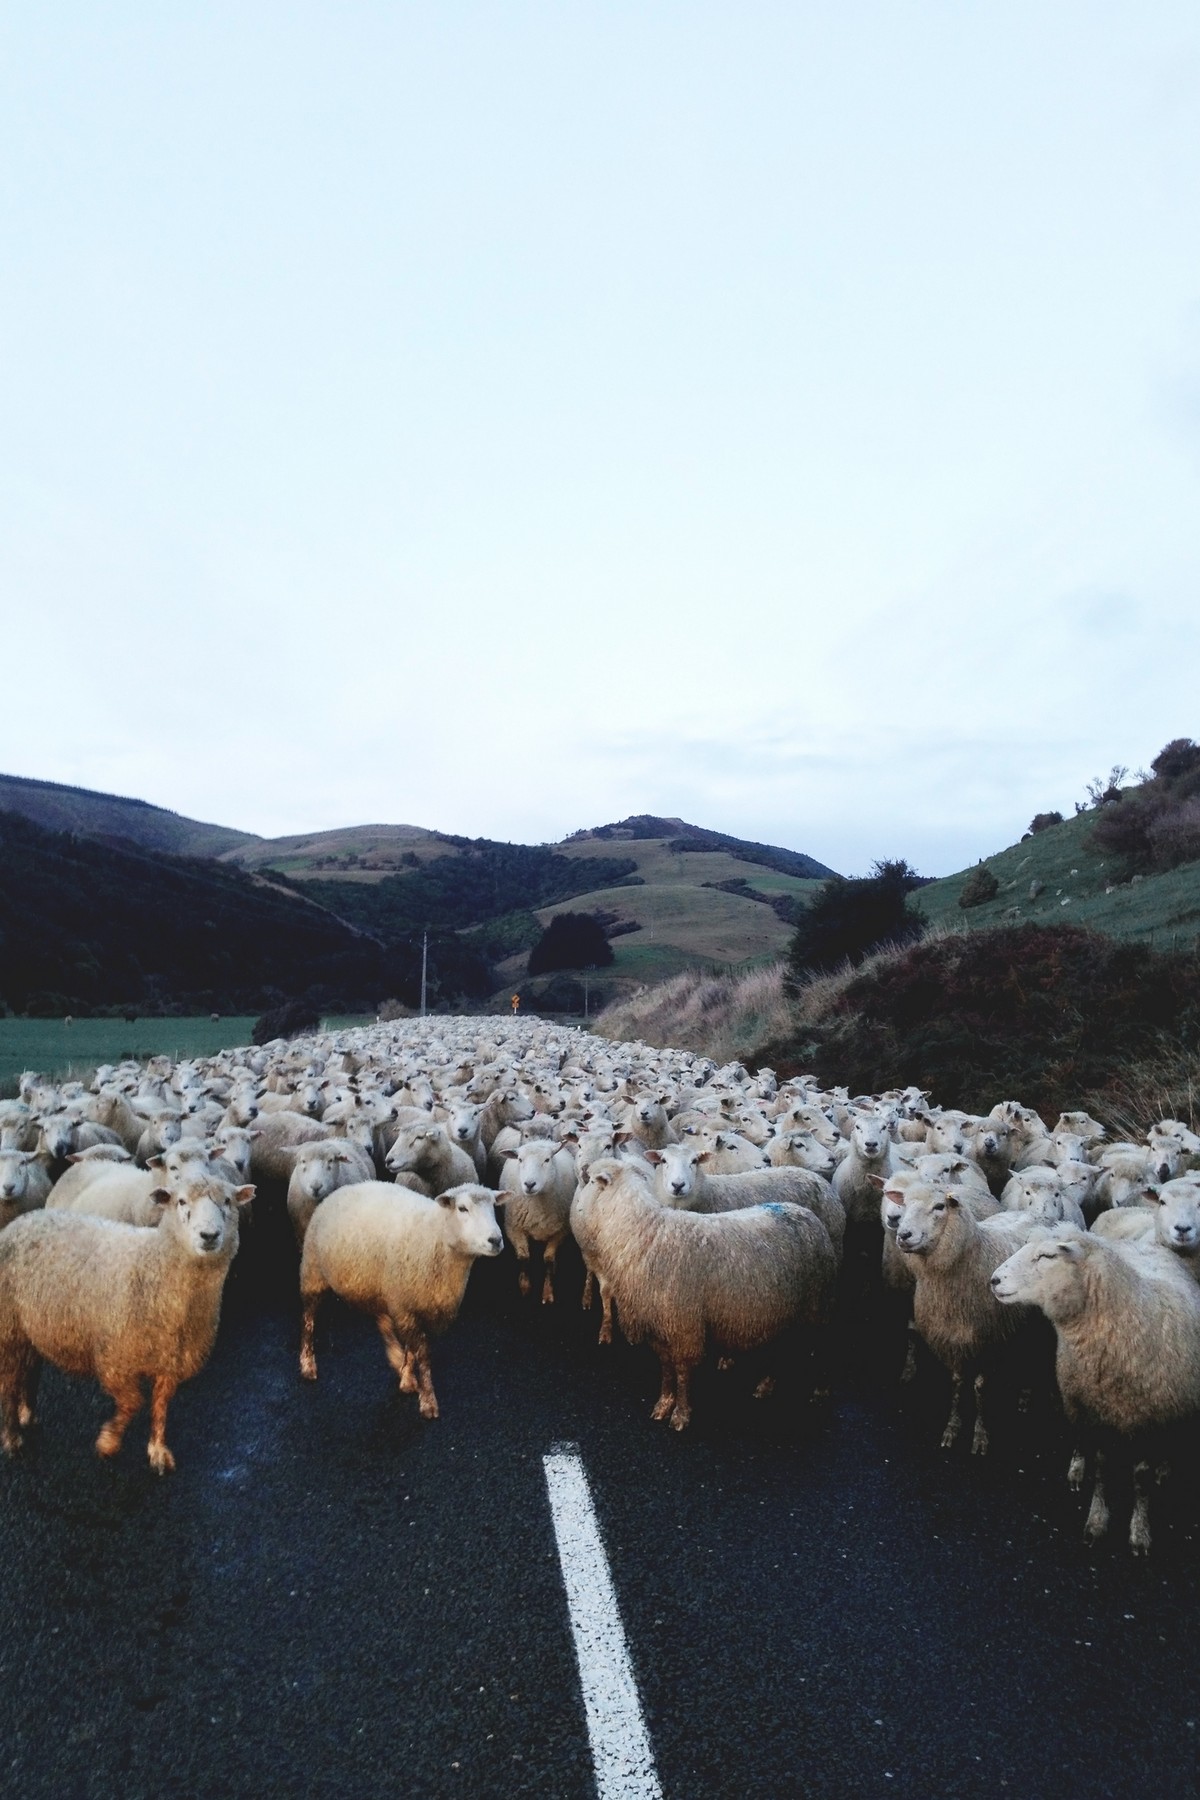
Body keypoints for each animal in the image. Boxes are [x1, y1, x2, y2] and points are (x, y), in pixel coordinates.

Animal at [0, 1173, 251, 1468]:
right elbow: (133, 1402)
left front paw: (157, 1450)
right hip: (8, 1329)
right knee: (7, 1384)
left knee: (28, 1371)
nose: (209, 1235)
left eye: (228, 1201)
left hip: (31, 1328)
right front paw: (108, 1442)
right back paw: (13, 1439)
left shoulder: (170, 1361)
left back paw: (27, 1414)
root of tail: (24, 1219)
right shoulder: (114, 1358)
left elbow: (160, 1406)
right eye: (181, 1201)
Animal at [305, 1180, 507, 1418]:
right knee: (308, 1321)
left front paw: (407, 1379)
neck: (435, 1236)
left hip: (381, 1289)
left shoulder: (415, 1307)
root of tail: (342, 1188)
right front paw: (428, 1401)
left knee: (383, 1322)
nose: (496, 1240)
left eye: (494, 1206)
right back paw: (307, 1365)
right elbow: (423, 1355)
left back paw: (394, 1356)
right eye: (462, 1208)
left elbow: (412, 1351)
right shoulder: (405, 1307)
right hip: (312, 1272)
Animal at [572, 1159, 834, 1425]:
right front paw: (663, 1404)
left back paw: (820, 1390)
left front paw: (681, 1414)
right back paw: (765, 1385)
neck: (644, 1232)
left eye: (591, 1180)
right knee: (780, 1347)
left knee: (823, 1343)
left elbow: (682, 1370)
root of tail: (809, 1216)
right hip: (785, 1307)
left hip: (817, 1302)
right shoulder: (659, 1324)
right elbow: (666, 1368)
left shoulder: (684, 1326)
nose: (577, 1207)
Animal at [899, 1188, 1043, 1454]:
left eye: (939, 1206)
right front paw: (952, 1427)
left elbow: (980, 1388)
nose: (903, 1235)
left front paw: (980, 1434)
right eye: (903, 1204)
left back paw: (1025, 1394)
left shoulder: (990, 1342)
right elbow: (957, 1385)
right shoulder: (952, 1341)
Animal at [993, 1231, 1200, 1555]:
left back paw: (1164, 1469)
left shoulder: (1151, 1420)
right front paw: (1096, 1521)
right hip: (1073, 1396)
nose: (994, 1280)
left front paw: (1139, 1532)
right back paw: (1077, 1468)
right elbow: (1102, 1468)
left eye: (1047, 1256)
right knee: (1080, 1437)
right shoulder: (1095, 1412)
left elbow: (1140, 1478)